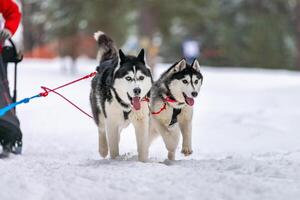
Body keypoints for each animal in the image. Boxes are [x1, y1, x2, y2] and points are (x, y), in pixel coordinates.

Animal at [89, 31, 152, 162]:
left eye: (141, 77)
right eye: (128, 78)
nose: (137, 90)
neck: (126, 106)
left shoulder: (142, 121)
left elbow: (143, 147)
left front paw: (143, 162)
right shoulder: (111, 121)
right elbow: (113, 148)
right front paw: (115, 160)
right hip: (100, 114)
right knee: (101, 130)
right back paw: (103, 149)